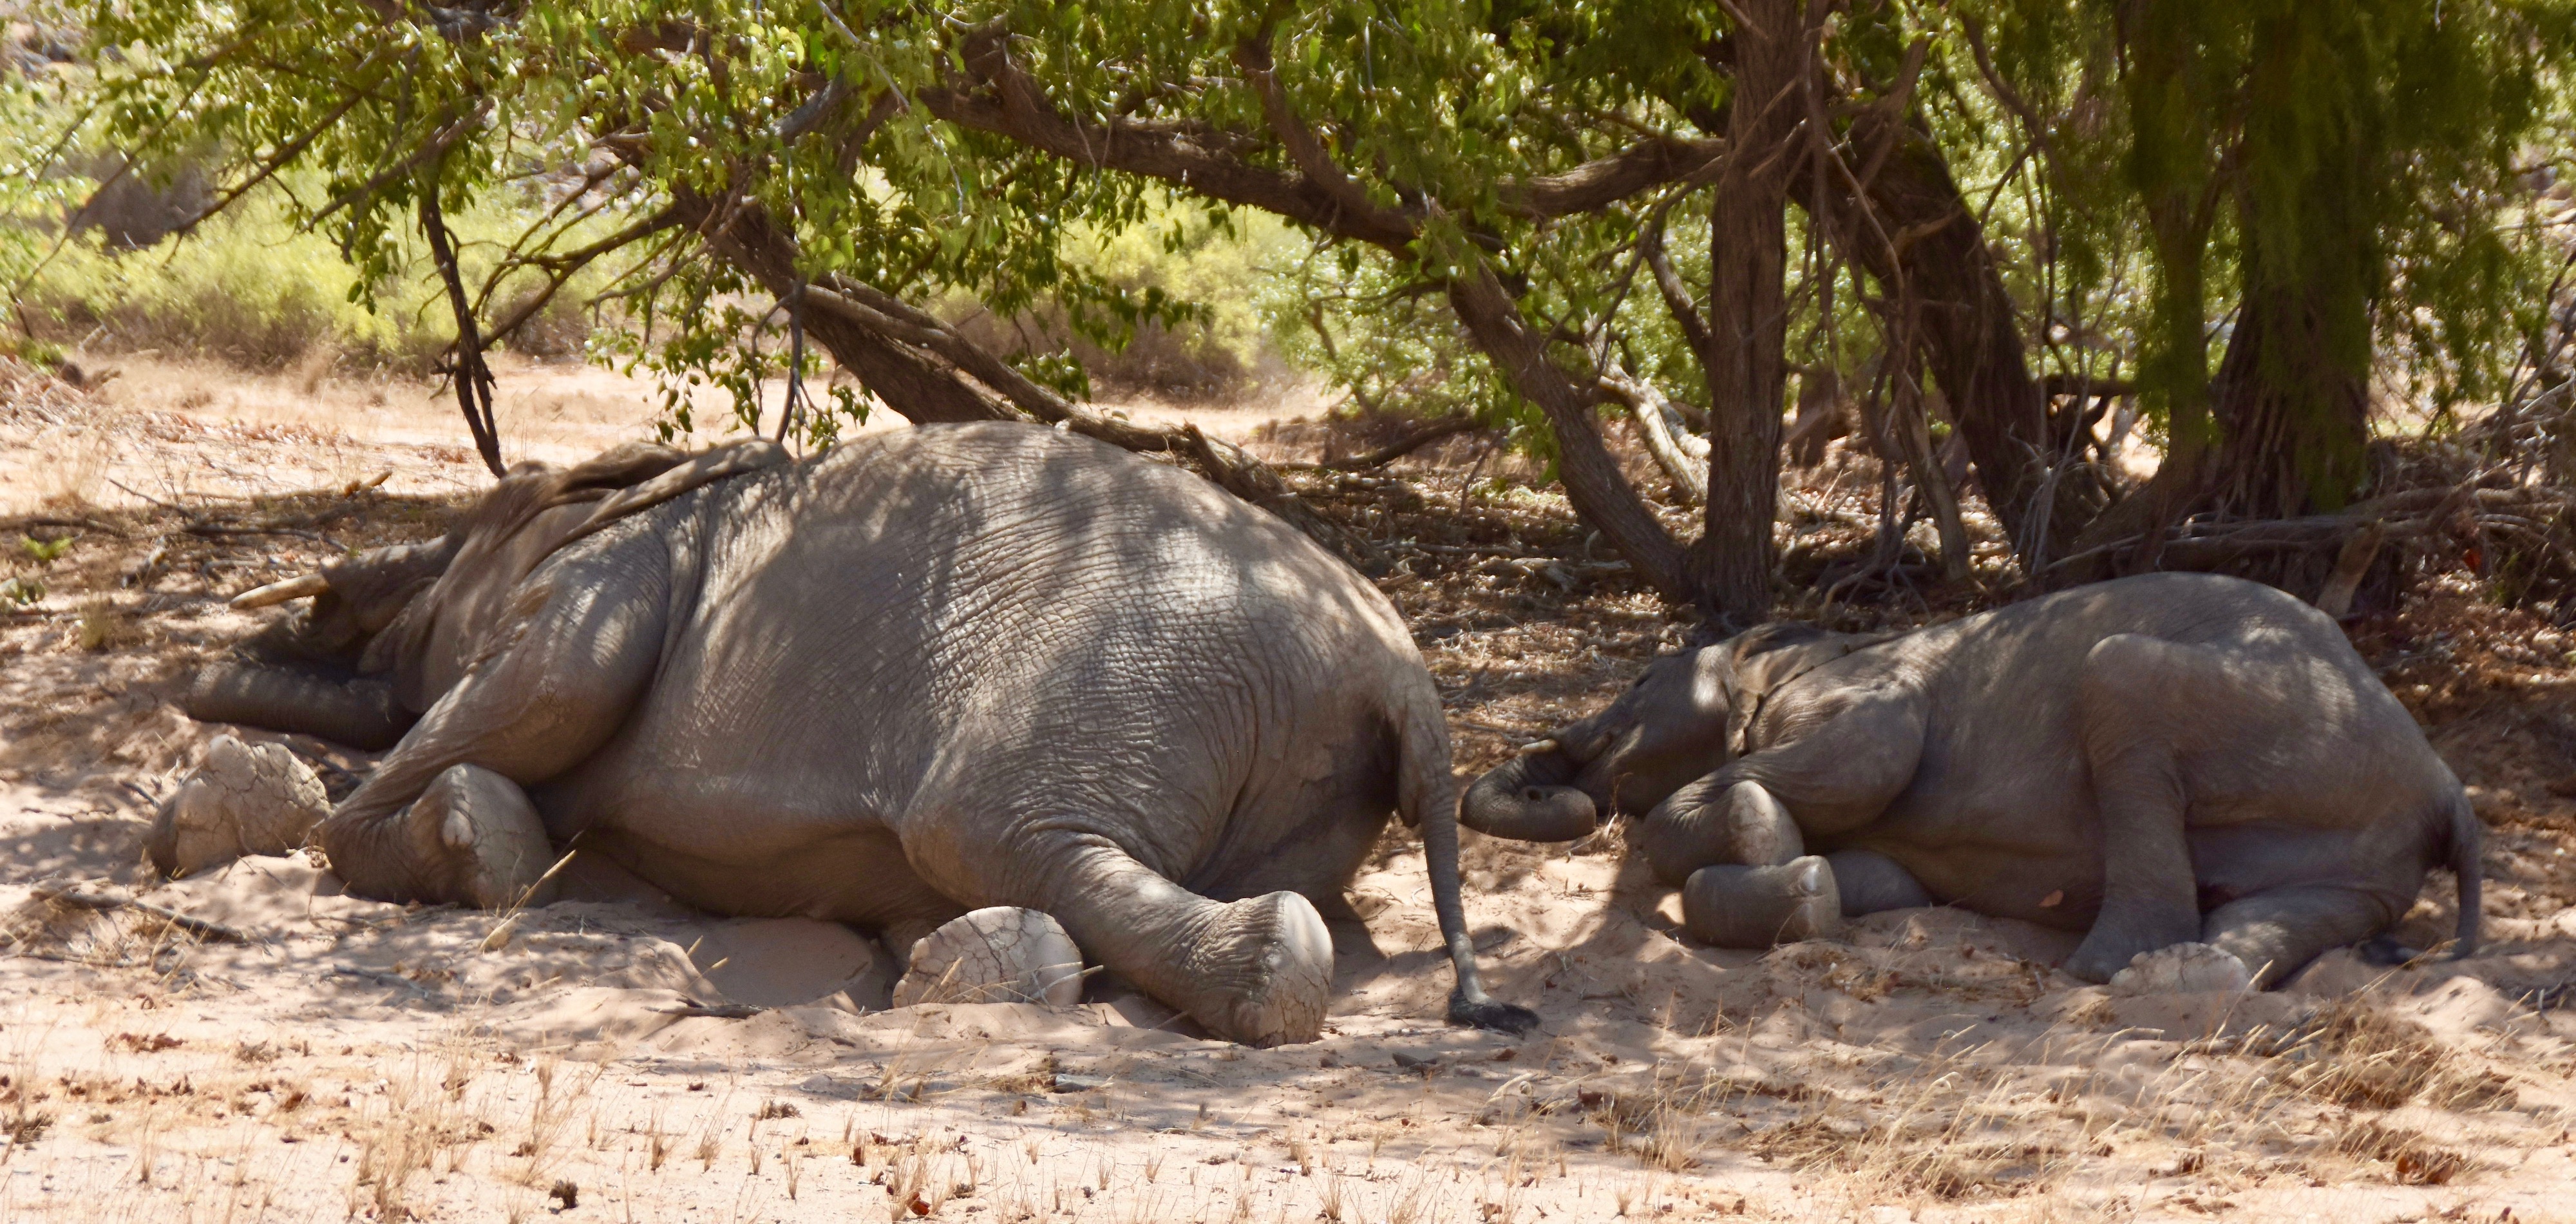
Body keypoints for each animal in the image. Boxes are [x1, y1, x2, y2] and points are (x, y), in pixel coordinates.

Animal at [171, 425, 1535, 1051]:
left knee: (989, 833)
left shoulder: (612, 577)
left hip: (1128, 675)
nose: (201, 671)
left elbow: (550, 684)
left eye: (472, 531)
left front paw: (444, 835)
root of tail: (1402, 677)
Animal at [1463, 572, 2483, 990]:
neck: (1802, 642)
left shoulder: (1860, 694)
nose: (1554, 781)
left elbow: (1874, 753)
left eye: (1641, 680)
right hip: (2368, 865)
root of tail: (2446, 787)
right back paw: (2184, 982)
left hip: (2272, 717)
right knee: (2284, 916)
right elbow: (1881, 879)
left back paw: (2111, 973)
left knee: (2120, 678)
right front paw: (1802, 880)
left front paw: (1762, 836)